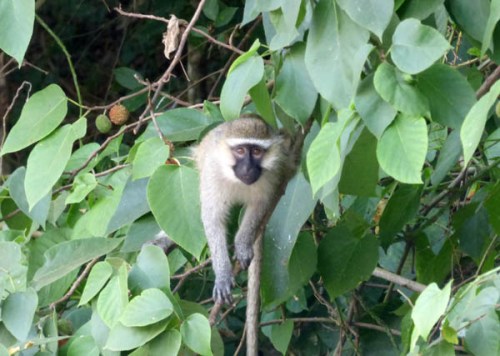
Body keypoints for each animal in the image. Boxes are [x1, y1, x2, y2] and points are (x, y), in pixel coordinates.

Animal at [195, 116, 296, 304]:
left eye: (256, 151)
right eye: (240, 151)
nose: (248, 168)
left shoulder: (272, 172)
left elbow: (260, 204)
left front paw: (242, 244)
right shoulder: (212, 170)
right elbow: (212, 217)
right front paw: (223, 275)